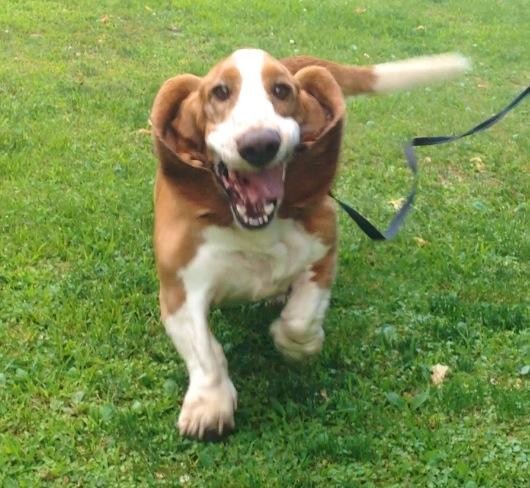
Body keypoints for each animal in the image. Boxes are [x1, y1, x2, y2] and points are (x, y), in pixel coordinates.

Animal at [150, 47, 466, 440]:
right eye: (220, 92)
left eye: (282, 90)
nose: (260, 144)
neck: (253, 228)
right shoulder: (179, 289)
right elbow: (205, 350)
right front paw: (210, 404)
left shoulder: (322, 254)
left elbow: (300, 318)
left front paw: (299, 343)